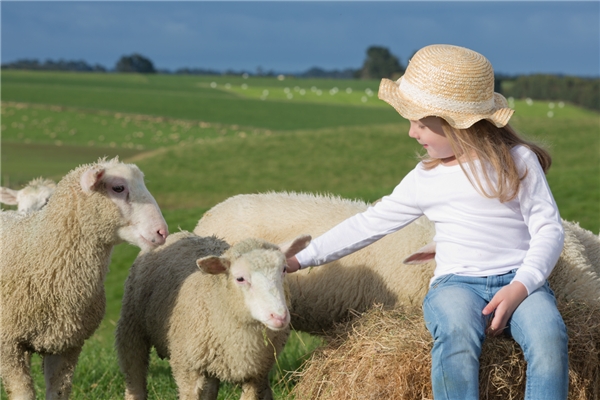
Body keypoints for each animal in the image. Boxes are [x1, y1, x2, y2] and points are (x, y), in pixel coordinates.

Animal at [0, 156, 169, 400]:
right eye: (118, 188)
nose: (162, 232)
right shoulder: (8, 345)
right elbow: (23, 394)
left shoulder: (65, 344)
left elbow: (57, 393)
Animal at [115, 231, 312, 400]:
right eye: (240, 278)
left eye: (284, 269)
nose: (279, 317)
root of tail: (180, 233)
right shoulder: (187, 368)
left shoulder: (256, 374)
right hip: (132, 327)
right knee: (134, 372)